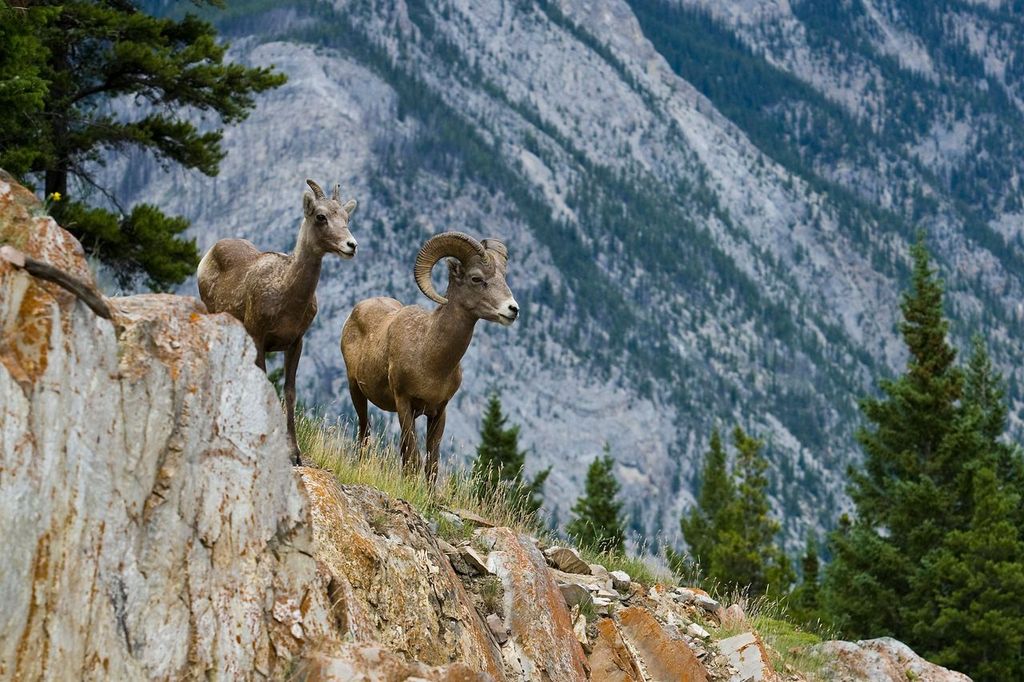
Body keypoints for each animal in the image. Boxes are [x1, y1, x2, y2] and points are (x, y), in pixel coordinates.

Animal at [198, 179, 358, 464]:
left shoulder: (295, 343)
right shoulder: (258, 337)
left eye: (346, 217)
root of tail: (209, 253)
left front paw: (294, 454)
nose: (351, 245)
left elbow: (289, 392)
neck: (285, 293)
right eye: (321, 216)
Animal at [340, 231, 519, 481]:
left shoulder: (438, 412)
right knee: (364, 432)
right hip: (355, 390)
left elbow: (431, 464)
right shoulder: (404, 403)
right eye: (476, 278)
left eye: (503, 277)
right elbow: (414, 459)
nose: (513, 309)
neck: (430, 358)